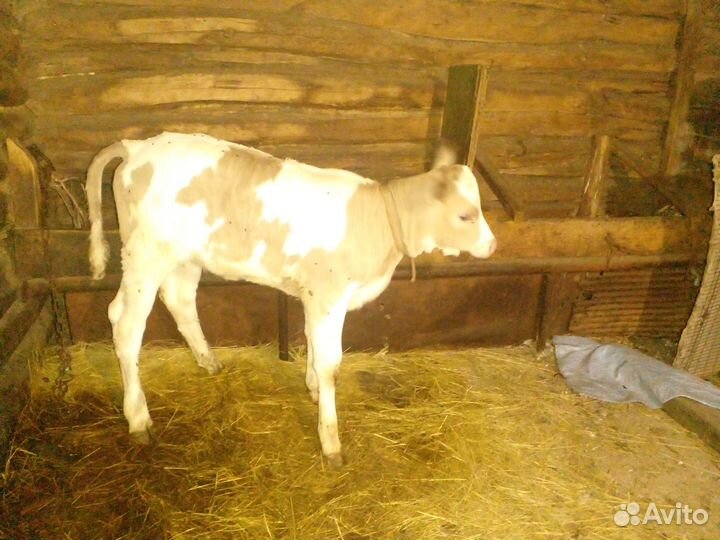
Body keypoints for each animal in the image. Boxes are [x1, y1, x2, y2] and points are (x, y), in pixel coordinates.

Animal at [86, 132, 496, 467]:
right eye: (466, 215)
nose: (492, 245)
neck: (376, 221)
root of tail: (137, 146)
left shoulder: (314, 294)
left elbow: (312, 342)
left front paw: (312, 387)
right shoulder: (329, 293)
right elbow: (331, 363)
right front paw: (331, 441)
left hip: (183, 256)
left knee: (180, 299)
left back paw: (208, 361)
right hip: (145, 255)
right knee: (125, 324)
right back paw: (139, 419)